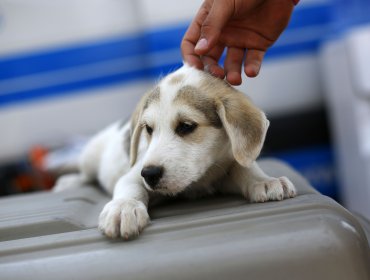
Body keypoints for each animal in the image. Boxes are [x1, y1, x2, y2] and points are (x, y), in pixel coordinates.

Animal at [53, 65, 298, 238]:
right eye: (148, 129)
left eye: (186, 126)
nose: (149, 174)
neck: (199, 180)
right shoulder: (134, 174)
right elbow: (130, 188)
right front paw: (124, 208)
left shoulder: (225, 165)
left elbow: (243, 168)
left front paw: (264, 181)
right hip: (90, 156)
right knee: (86, 175)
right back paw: (69, 182)